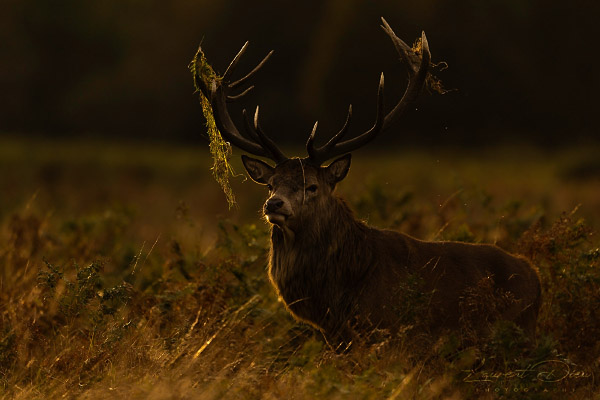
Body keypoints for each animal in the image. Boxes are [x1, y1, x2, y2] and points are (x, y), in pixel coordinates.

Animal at [195, 18, 540, 348]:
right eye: (271, 184)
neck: (338, 294)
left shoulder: (389, 329)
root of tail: (536, 280)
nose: (274, 204)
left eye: (312, 186)